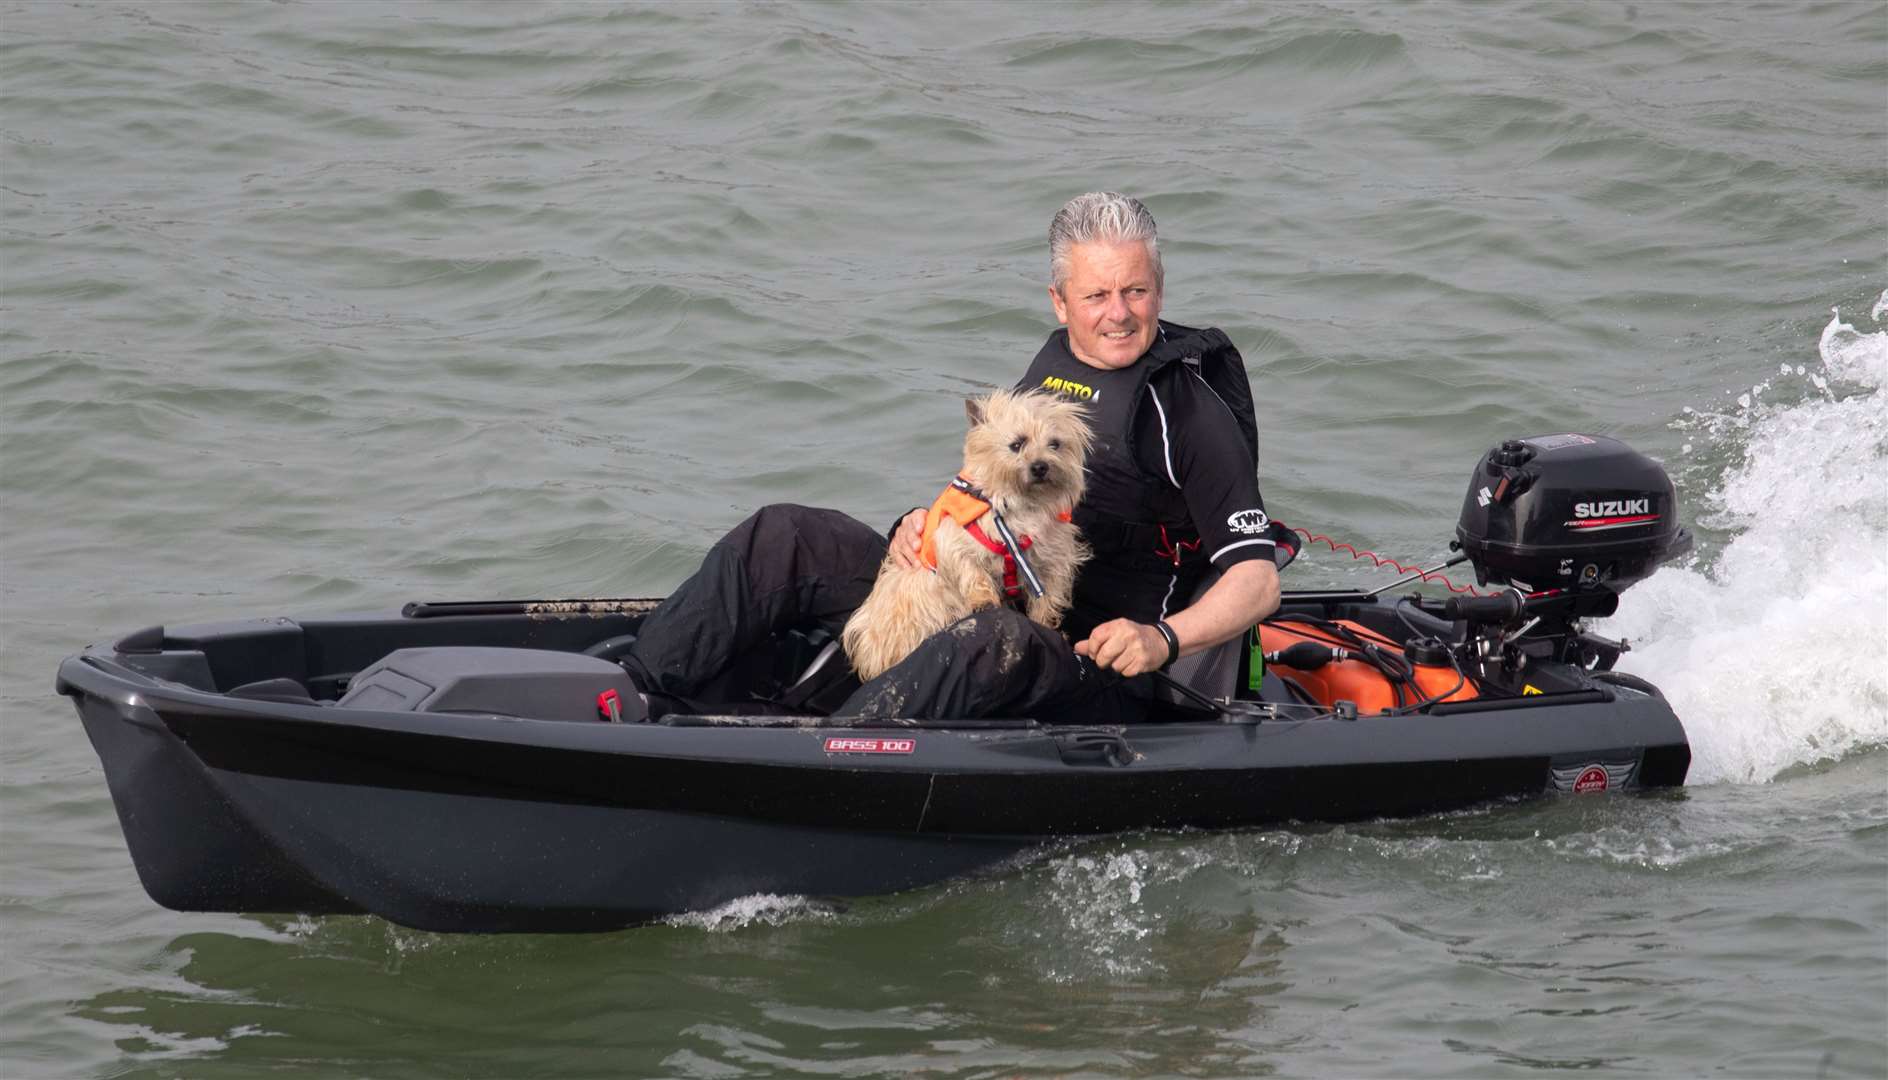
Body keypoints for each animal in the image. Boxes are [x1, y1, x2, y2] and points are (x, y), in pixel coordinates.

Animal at [842, 388, 1095, 679]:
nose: (1041, 466)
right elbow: (972, 571)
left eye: (1055, 444)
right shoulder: (956, 542)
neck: (1021, 506)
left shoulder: (1053, 559)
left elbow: (1049, 596)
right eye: (1017, 444)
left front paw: (1047, 626)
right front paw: (984, 601)